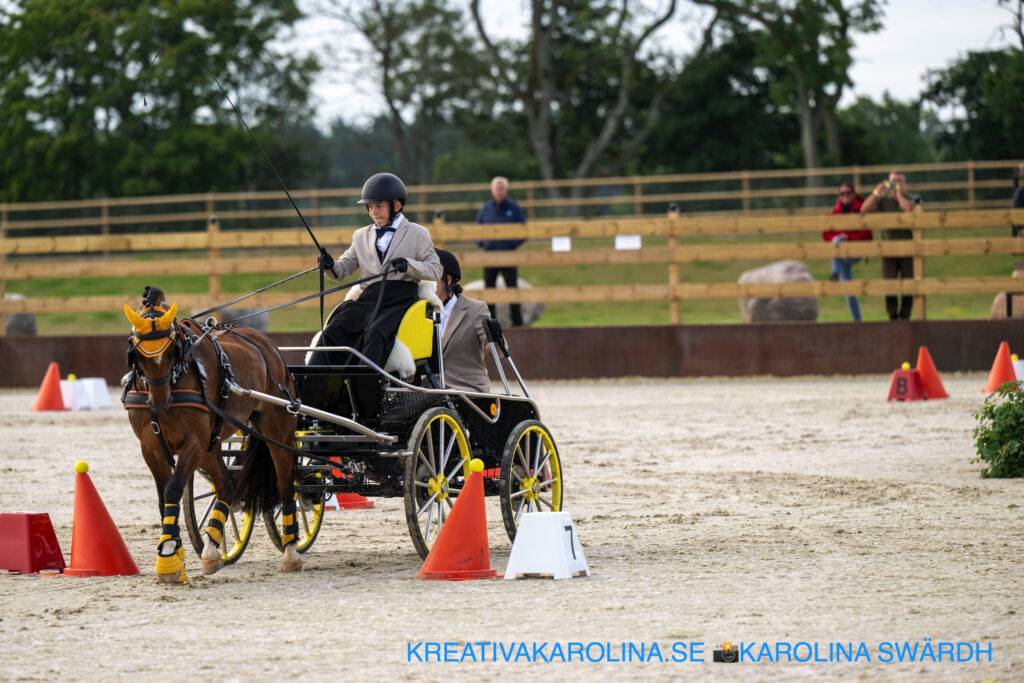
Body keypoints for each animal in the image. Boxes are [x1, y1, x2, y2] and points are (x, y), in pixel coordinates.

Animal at [122, 286, 301, 583]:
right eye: (138, 354)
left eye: (171, 352)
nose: (159, 403)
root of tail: (265, 342)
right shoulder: (151, 447)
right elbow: (163, 498)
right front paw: (175, 550)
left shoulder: (193, 443)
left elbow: (173, 489)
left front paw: (168, 557)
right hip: (211, 444)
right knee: (226, 484)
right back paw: (212, 550)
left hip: (277, 430)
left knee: (285, 482)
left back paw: (291, 551)